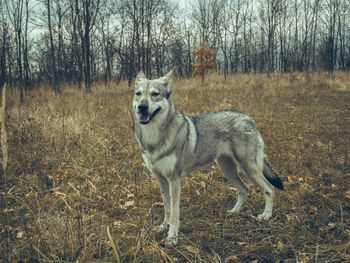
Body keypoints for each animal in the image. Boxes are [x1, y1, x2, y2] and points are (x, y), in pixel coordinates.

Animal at [132, 70, 284, 248]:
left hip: (248, 169)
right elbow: (167, 208)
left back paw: (266, 215)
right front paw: (163, 226)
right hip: (228, 171)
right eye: (138, 94)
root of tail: (248, 118)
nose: (142, 107)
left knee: (269, 189)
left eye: (155, 94)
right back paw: (234, 211)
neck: (154, 138)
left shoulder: (174, 179)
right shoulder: (161, 179)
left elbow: (174, 212)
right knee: (244, 190)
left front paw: (172, 237)